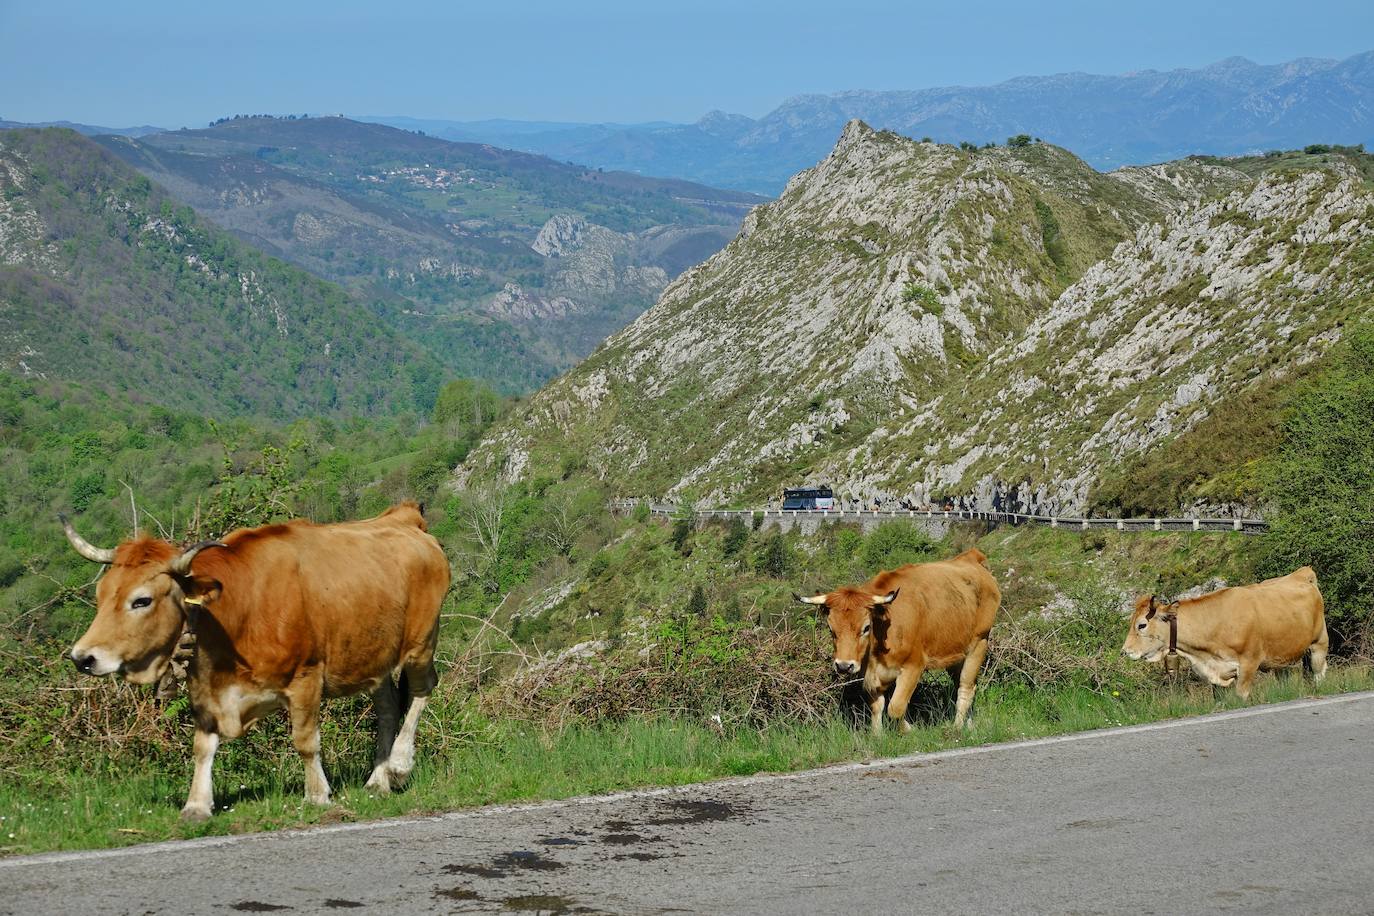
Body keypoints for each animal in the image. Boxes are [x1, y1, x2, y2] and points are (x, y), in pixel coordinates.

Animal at [61, 505, 447, 818]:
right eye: (100, 595)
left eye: (141, 600)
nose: (83, 657)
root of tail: (404, 517)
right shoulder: (206, 688)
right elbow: (202, 747)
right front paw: (196, 804)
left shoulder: (306, 677)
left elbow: (305, 741)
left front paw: (317, 795)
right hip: (373, 657)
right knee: (388, 707)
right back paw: (378, 779)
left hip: (420, 643)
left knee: (421, 690)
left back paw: (399, 765)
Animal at [796, 549, 1000, 736]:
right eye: (831, 630)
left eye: (866, 628)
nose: (844, 666)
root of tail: (971, 557)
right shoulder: (871, 675)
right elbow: (877, 706)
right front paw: (877, 735)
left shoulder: (914, 666)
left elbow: (895, 707)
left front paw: (909, 729)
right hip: (956, 654)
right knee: (966, 685)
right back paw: (969, 724)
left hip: (979, 643)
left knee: (966, 687)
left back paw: (957, 727)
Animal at [1121, 565, 1324, 703]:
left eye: (1141, 625)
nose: (1124, 651)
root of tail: (1302, 573)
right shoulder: (1217, 673)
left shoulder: (1249, 664)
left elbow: (1240, 696)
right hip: (1282, 657)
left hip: (1319, 642)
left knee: (1318, 670)